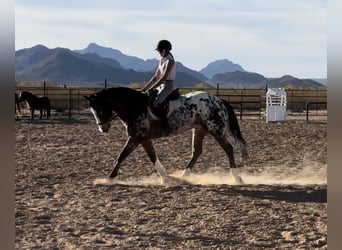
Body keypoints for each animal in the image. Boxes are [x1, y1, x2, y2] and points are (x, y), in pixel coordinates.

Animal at [84, 87, 247, 184]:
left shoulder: (136, 138)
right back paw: (183, 176)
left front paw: (109, 178)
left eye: (99, 109)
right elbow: (152, 156)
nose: (103, 128)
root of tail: (219, 100)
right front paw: (165, 177)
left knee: (229, 149)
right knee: (197, 152)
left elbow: (122, 155)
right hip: (200, 130)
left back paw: (238, 178)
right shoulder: (144, 139)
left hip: (216, 130)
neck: (135, 106)